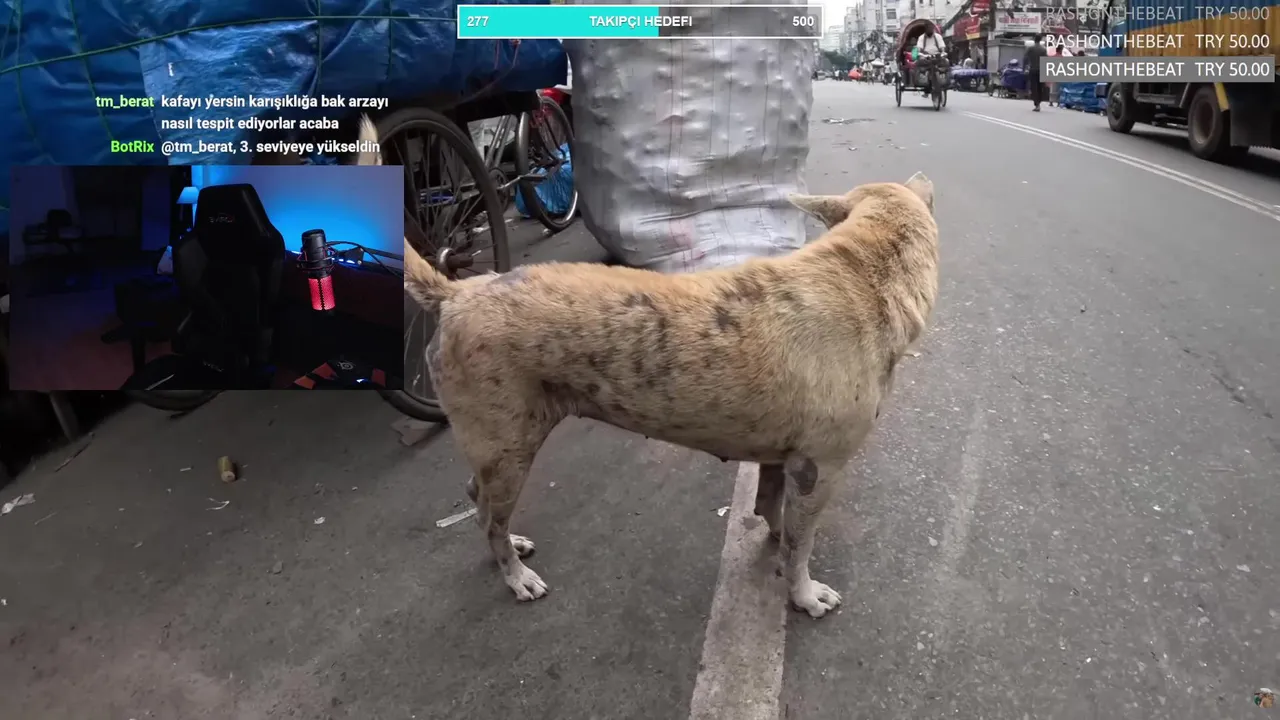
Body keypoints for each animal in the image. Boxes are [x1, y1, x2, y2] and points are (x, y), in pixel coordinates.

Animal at [402, 173, 939, 618]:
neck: (863, 270)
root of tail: (456, 295)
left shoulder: (781, 456)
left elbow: (772, 508)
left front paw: (776, 537)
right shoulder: (818, 470)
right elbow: (800, 544)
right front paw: (803, 593)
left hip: (498, 446)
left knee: (479, 500)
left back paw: (509, 544)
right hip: (508, 446)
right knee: (489, 516)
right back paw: (515, 575)